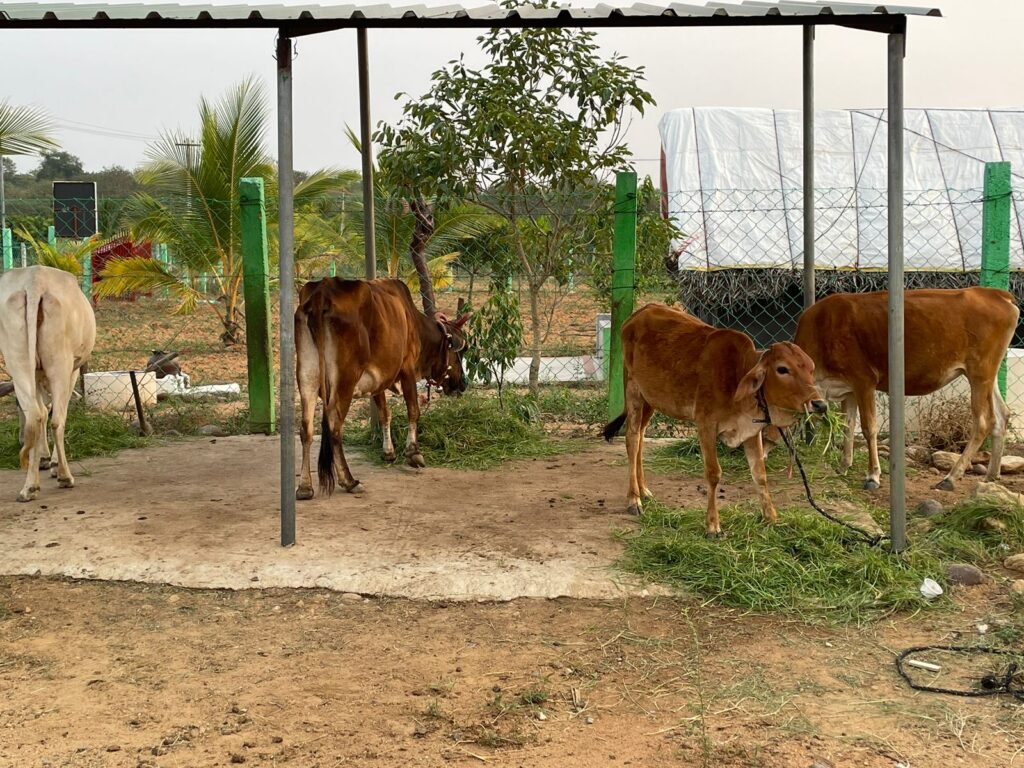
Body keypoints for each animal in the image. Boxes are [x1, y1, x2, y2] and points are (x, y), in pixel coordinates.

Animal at [0, 268, 96, 501]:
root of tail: (35, 280)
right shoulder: (73, 371)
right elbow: (54, 412)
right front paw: (51, 462)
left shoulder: (35, 373)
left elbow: (42, 410)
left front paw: (42, 458)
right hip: (60, 364)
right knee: (57, 418)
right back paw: (64, 476)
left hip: (18, 363)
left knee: (35, 415)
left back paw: (29, 487)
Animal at [296, 278, 471, 499]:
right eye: (461, 351)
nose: (462, 383)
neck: (413, 321)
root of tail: (321, 294)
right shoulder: (407, 368)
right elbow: (413, 410)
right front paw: (413, 453)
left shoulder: (378, 379)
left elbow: (384, 413)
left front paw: (389, 451)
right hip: (345, 380)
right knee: (335, 426)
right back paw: (349, 481)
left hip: (306, 377)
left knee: (306, 428)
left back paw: (304, 487)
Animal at [602, 303, 827, 536]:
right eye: (782, 369)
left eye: (811, 368)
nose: (819, 404)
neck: (737, 373)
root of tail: (642, 311)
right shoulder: (706, 426)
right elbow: (713, 473)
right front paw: (712, 525)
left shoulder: (751, 431)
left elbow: (760, 474)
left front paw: (771, 518)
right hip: (633, 391)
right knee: (632, 439)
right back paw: (634, 499)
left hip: (651, 400)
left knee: (640, 439)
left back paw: (644, 490)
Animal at [790, 288, 1015, 493]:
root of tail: (997, 294)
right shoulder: (847, 389)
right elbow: (848, 426)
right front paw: (843, 466)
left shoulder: (864, 381)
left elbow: (868, 428)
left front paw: (873, 476)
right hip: (987, 375)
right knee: (1002, 415)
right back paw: (991, 475)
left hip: (979, 372)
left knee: (984, 421)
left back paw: (950, 478)